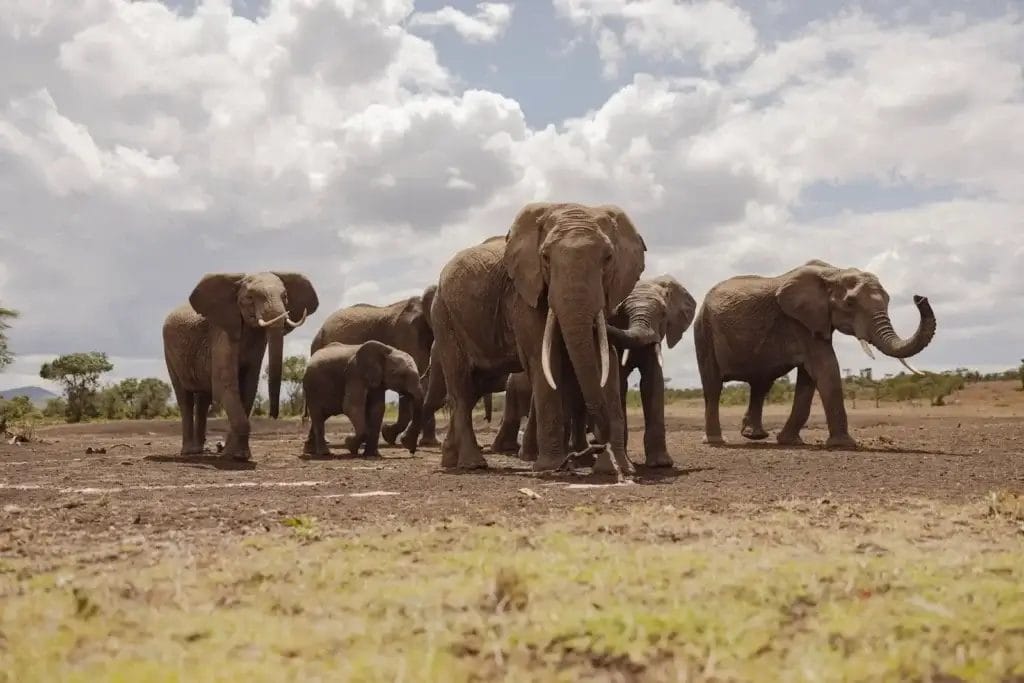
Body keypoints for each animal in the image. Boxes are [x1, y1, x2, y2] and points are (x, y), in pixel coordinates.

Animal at [163, 271, 319, 460]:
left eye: (285, 296)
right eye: (250, 298)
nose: (273, 415)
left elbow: (249, 387)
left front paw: (236, 453)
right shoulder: (222, 334)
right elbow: (224, 385)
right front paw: (236, 455)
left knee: (203, 399)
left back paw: (199, 450)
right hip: (169, 354)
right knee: (184, 398)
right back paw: (189, 452)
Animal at [425, 202, 647, 473]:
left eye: (608, 258)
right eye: (546, 258)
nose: (597, 444)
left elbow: (605, 358)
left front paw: (619, 469)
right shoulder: (523, 295)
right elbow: (545, 359)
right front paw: (550, 468)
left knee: (473, 386)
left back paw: (450, 460)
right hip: (444, 317)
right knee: (461, 386)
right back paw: (473, 465)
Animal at [492, 275, 697, 467]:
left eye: (663, 314)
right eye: (621, 313)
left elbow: (652, 382)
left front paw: (661, 464)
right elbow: (620, 382)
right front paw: (625, 461)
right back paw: (533, 456)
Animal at [693, 259, 936, 448]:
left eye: (888, 300)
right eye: (850, 302)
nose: (920, 298)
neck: (835, 272)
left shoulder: (815, 322)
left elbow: (809, 379)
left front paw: (790, 442)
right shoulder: (799, 322)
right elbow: (826, 368)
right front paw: (844, 445)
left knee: (761, 385)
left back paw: (755, 436)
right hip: (704, 330)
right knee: (713, 387)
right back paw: (716, 441)